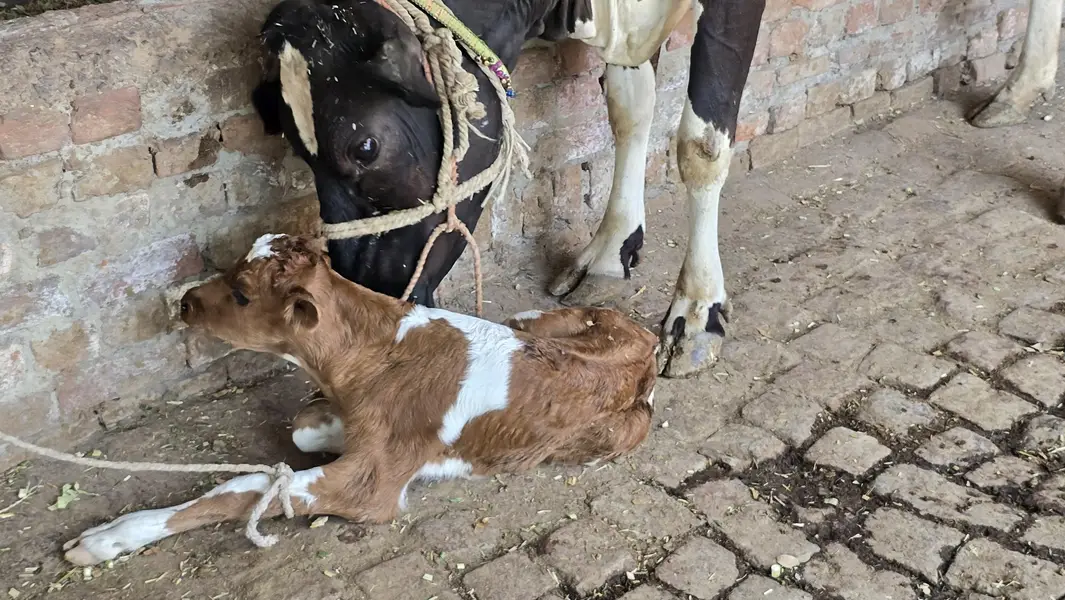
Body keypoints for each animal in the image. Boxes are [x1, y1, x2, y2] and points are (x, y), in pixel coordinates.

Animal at [60, 233, 658, 566]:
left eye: (242, 294)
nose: (184, 302)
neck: (371, 352)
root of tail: (647, 348)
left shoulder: (370, 489)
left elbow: (244, 489)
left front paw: (106, 539)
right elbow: (300, 428)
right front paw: (331, 428)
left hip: (624, 429)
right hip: (534, 319)